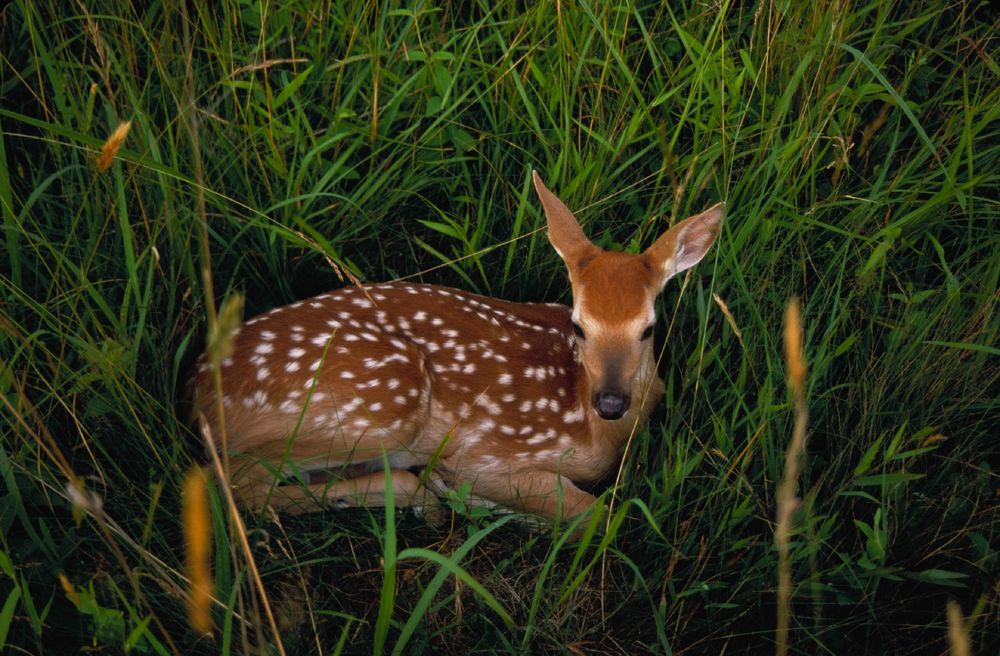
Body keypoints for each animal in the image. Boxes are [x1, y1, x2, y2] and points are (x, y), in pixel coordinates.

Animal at [189, 173, 720, 532]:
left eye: (648, 329)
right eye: (578, 325)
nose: (610, 402)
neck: (597, 427)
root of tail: (196, 388)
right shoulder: (485, 453)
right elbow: (591, 514)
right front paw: (480, 501)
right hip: (383, 402)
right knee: (232, 484)